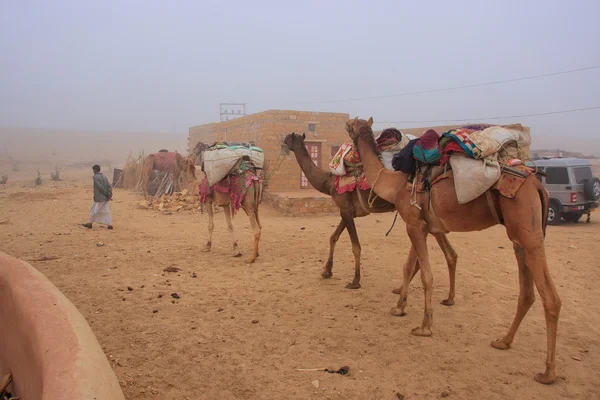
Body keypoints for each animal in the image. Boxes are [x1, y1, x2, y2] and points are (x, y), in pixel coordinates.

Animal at [284, 131, 458, 296]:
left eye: (288, 139)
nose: (283, 143)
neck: (329, 182)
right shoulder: (348, 211)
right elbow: (333, 237)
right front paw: (327, 271)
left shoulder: (345, 209)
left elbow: (355, 246)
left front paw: (355, 281)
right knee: (447, 253)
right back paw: (443, 297)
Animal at [346, 117, 564, 386]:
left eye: (350, 127)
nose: (347, 153)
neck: (395, 184)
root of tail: (538, 186)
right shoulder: (420, 225)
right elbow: (409, 267)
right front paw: (399, 308)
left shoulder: (414, 225)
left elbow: (427, 276)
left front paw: (424, 326)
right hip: (520, 238)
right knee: (527, 293)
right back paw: (503, 341)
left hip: (529, 233)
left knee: (551, 298)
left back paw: (548, 372)